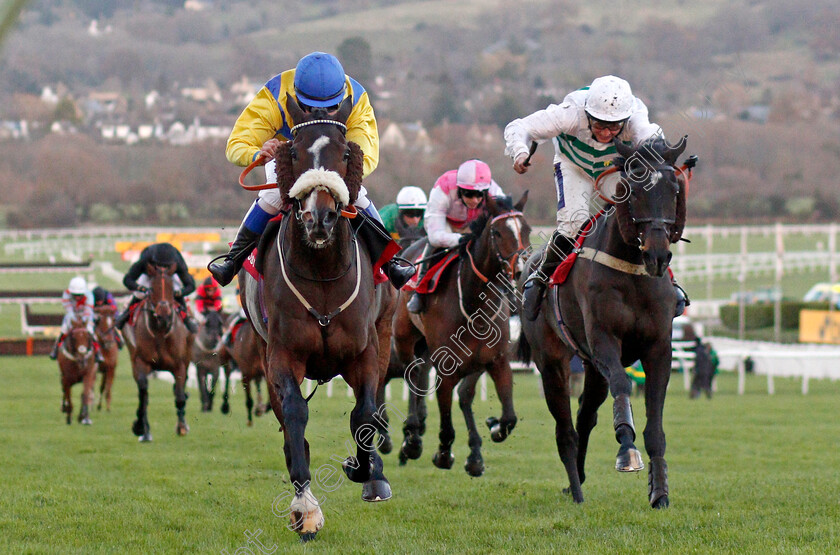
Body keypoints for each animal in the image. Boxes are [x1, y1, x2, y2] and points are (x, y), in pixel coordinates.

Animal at [123, 262, 194, 440]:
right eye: (152, 288)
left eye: (171, 288)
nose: (163, 314)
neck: (160, 331)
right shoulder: (141, 362)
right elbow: (143, 394)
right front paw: (140, 427)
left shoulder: (180, 365)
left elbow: (180, 395)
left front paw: (182, 427)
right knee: (144, 393)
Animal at [236, 94, 394, 540]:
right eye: (293, 151)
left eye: (345, 154)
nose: (319, 218)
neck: (323, 273)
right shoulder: (281, 354)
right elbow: (294, 415)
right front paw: (305, 509)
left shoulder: (364, 351)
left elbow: (364, 413)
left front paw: (364, 471)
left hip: (386, 333)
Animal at [394, 194, 532, 478]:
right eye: (498, 232)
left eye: (526, 230)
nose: (521, 269)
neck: (473, 303)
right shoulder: (446, 369)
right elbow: (446, 422)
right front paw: (443, 453)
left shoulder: (496, 361)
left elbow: (508, 417)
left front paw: (491, 429)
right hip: (403, 337)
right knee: (412, 373)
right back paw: (412, 436)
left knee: (457, 391)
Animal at [520, 136, 692, 508]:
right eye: (633, 189)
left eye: (674, 188)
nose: (658, 255)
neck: (632, 270)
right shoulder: (603, 341)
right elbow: (624, 386)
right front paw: (627, 450)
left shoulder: (659, 348)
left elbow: (655, 425)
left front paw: (660, 492)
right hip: (552, 362)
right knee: (565, 430)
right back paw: (576, 491)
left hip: (590, 368)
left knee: (585, 415)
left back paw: (579, 479)